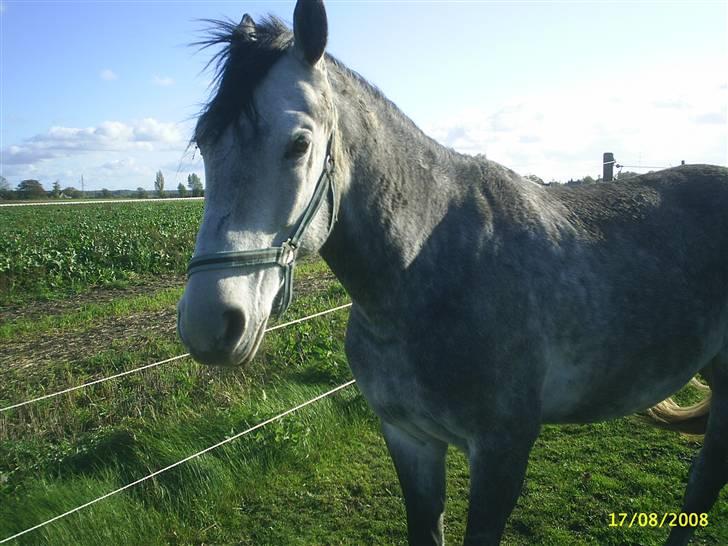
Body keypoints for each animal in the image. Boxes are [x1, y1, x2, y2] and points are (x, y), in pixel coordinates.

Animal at [178, 2, 728, 540]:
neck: (430, 268)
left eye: (298, 144)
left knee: (703, 484)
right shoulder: (410, 439)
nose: (209, 323)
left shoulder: (502, 452)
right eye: (204, 142)